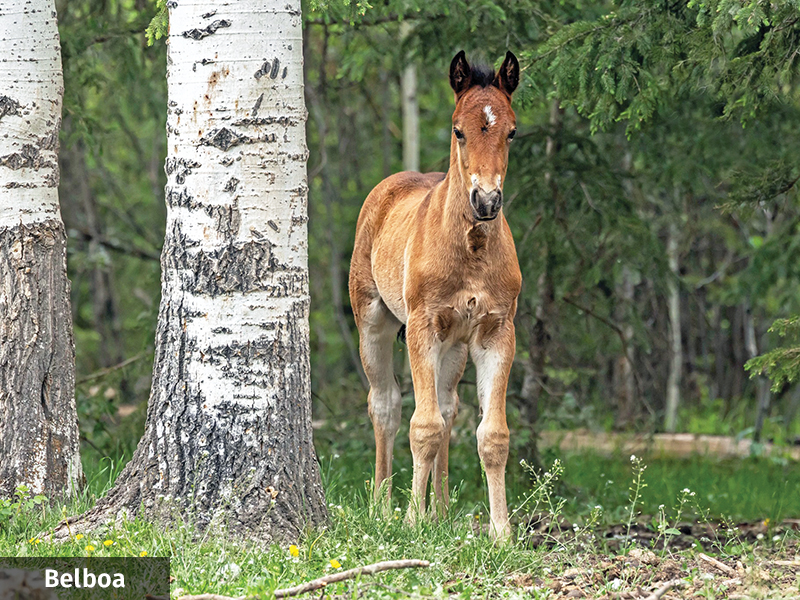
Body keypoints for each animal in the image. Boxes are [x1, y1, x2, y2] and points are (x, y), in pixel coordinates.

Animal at [349, 51, 521, 540]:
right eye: (458, 129)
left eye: (511, 130)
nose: (487, 201)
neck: (471, 249)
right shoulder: (422, 326)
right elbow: (420, 426)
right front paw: (409, 521)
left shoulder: (495, 332)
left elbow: (491, 434)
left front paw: (501, 533)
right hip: (374, 322)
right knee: (385, 405)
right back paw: (383, 507)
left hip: (454, 346)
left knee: (448, 409)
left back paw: (439, 512)